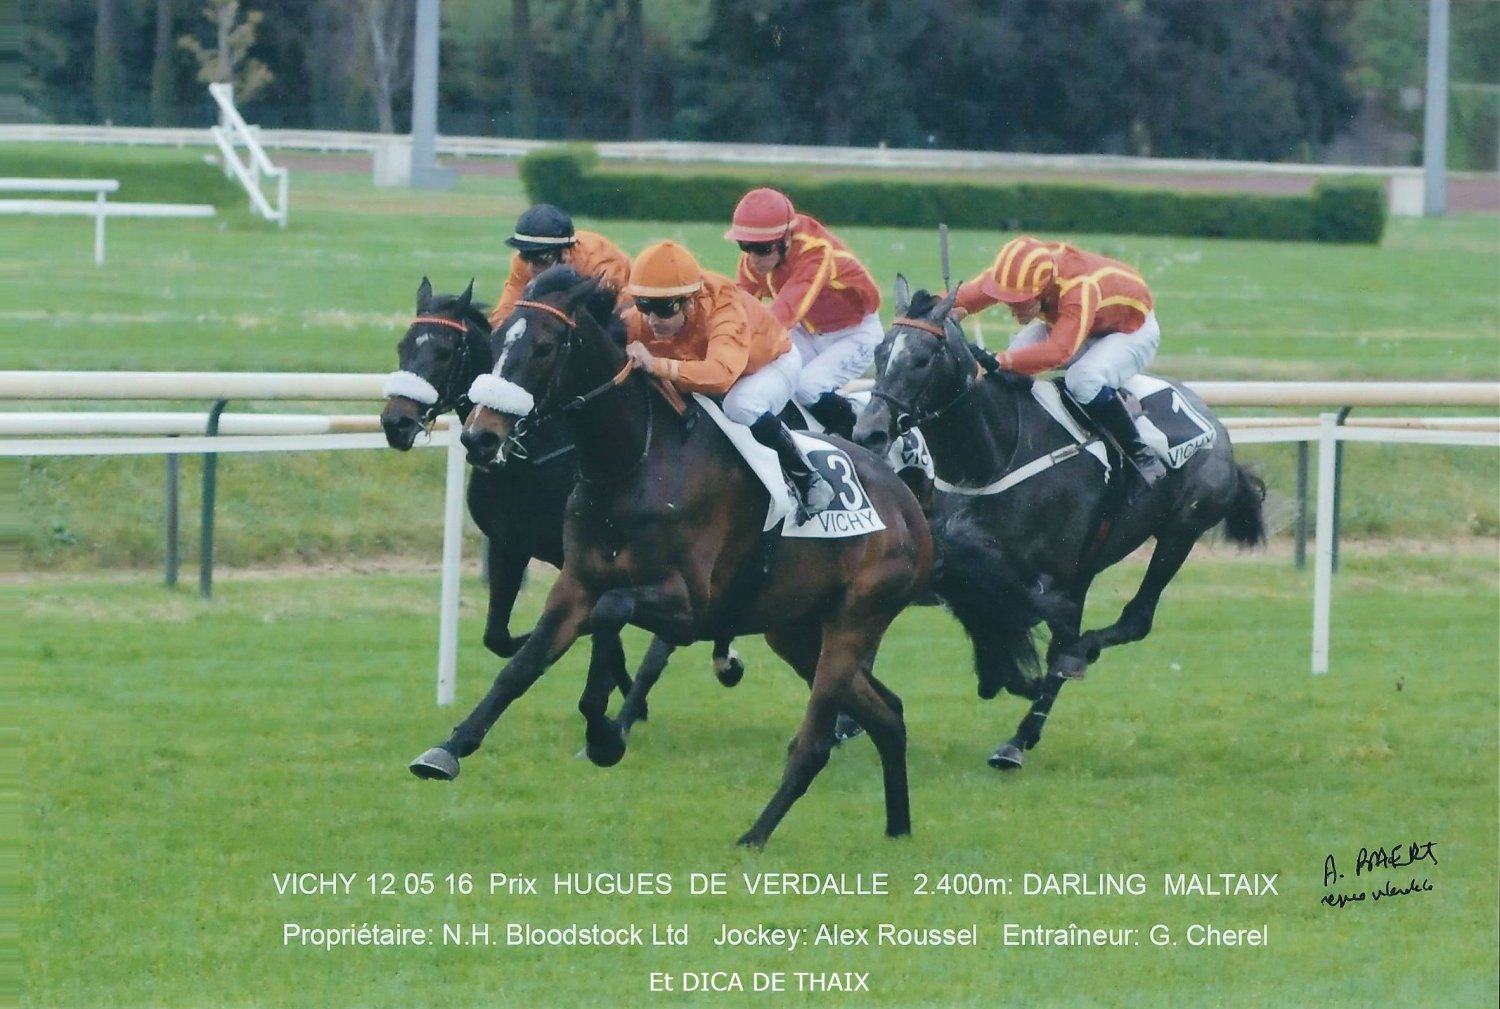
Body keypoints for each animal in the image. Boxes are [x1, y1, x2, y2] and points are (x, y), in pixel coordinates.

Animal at [378, 278, 743, 727]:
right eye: (403, 346)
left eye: (444, 352)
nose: (395, 423)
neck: (533, 455)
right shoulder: (510, 545)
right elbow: (498, 637)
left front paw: (622, 696)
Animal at [853, 278, 1266, 770]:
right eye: (880, 353)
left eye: (921, 358)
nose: (870, 432)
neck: (994, 454)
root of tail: (1217, 427)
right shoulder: (970, 555)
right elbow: (977, 599)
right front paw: (998, 671)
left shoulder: (1044, 572)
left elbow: (1015, 607)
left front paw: (1015, 671)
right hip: (1091, 561)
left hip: (1180, 531)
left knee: (1130, 622)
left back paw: (1043, 703)